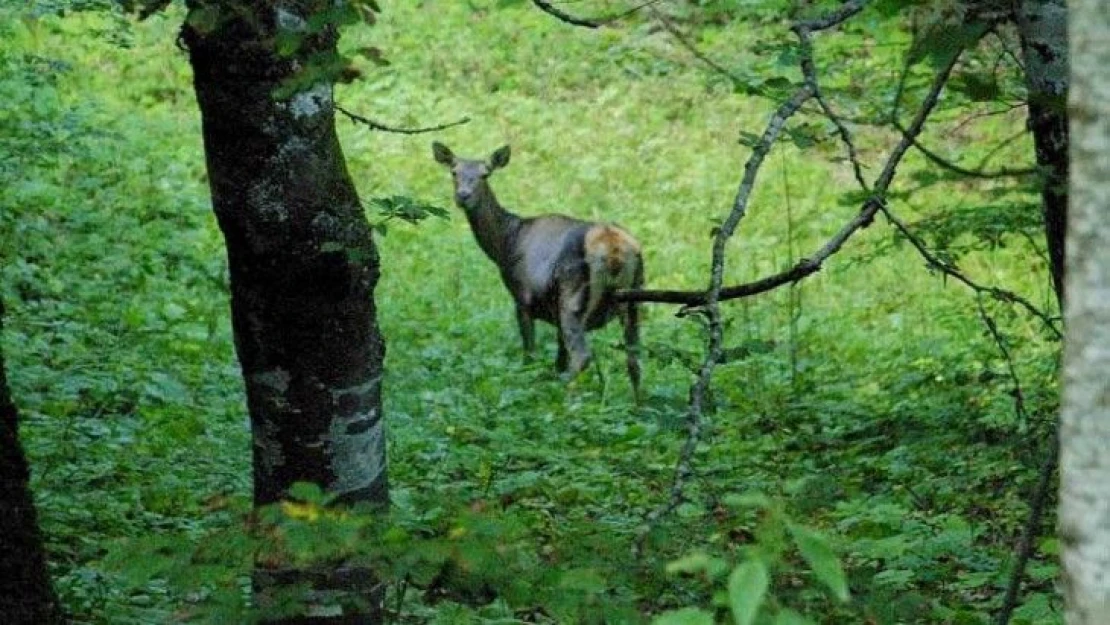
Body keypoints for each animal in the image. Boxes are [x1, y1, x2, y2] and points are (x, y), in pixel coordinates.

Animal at [432, 140, 643, 395]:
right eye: (454, 171)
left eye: (485, 174)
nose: (463, 196)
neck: (505, 244)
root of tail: (614, 251)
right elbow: (558, 359)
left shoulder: (522, 297)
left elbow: (529, 355)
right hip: (635, 298)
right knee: (634, 360)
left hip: (573, 296)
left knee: (581, 357)